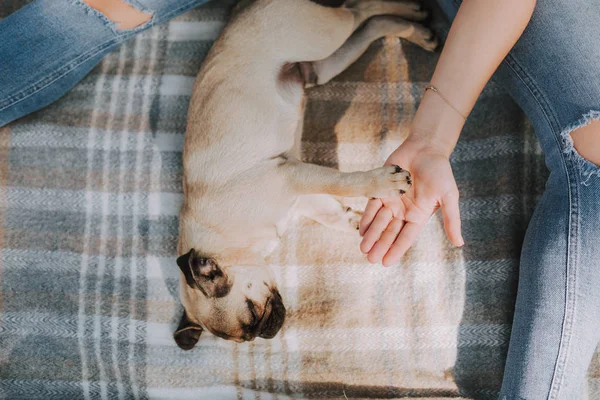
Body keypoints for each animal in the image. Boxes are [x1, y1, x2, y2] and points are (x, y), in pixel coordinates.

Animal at [173, 0, 436, 350]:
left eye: (253, 312)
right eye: (247, 336)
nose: (269, 331)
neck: (228, 239)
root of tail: (244, 9)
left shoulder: (290, 176)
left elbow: (341, 183)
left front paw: (382, 183)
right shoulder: (302, 198)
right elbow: (335, 214)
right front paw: (361, 224)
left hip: (323, 33)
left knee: (358, 9)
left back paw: (411, 14)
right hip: (319, 66)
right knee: (370, 25)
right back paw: (416, 31)